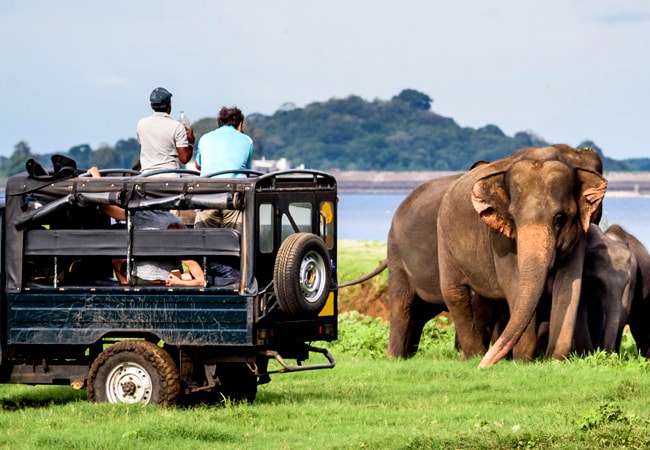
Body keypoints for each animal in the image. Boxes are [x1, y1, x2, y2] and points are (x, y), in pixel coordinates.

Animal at [436, 146, 604, 368]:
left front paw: (552, 361)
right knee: (454, 293)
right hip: (444, 240)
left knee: (484, 302)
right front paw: (523, 362)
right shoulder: (499, 239)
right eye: (512, 219)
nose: (484, 368)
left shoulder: (578, 234)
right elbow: (514, 284)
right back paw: (474, 357)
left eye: (559, 219)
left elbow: (569, 286)